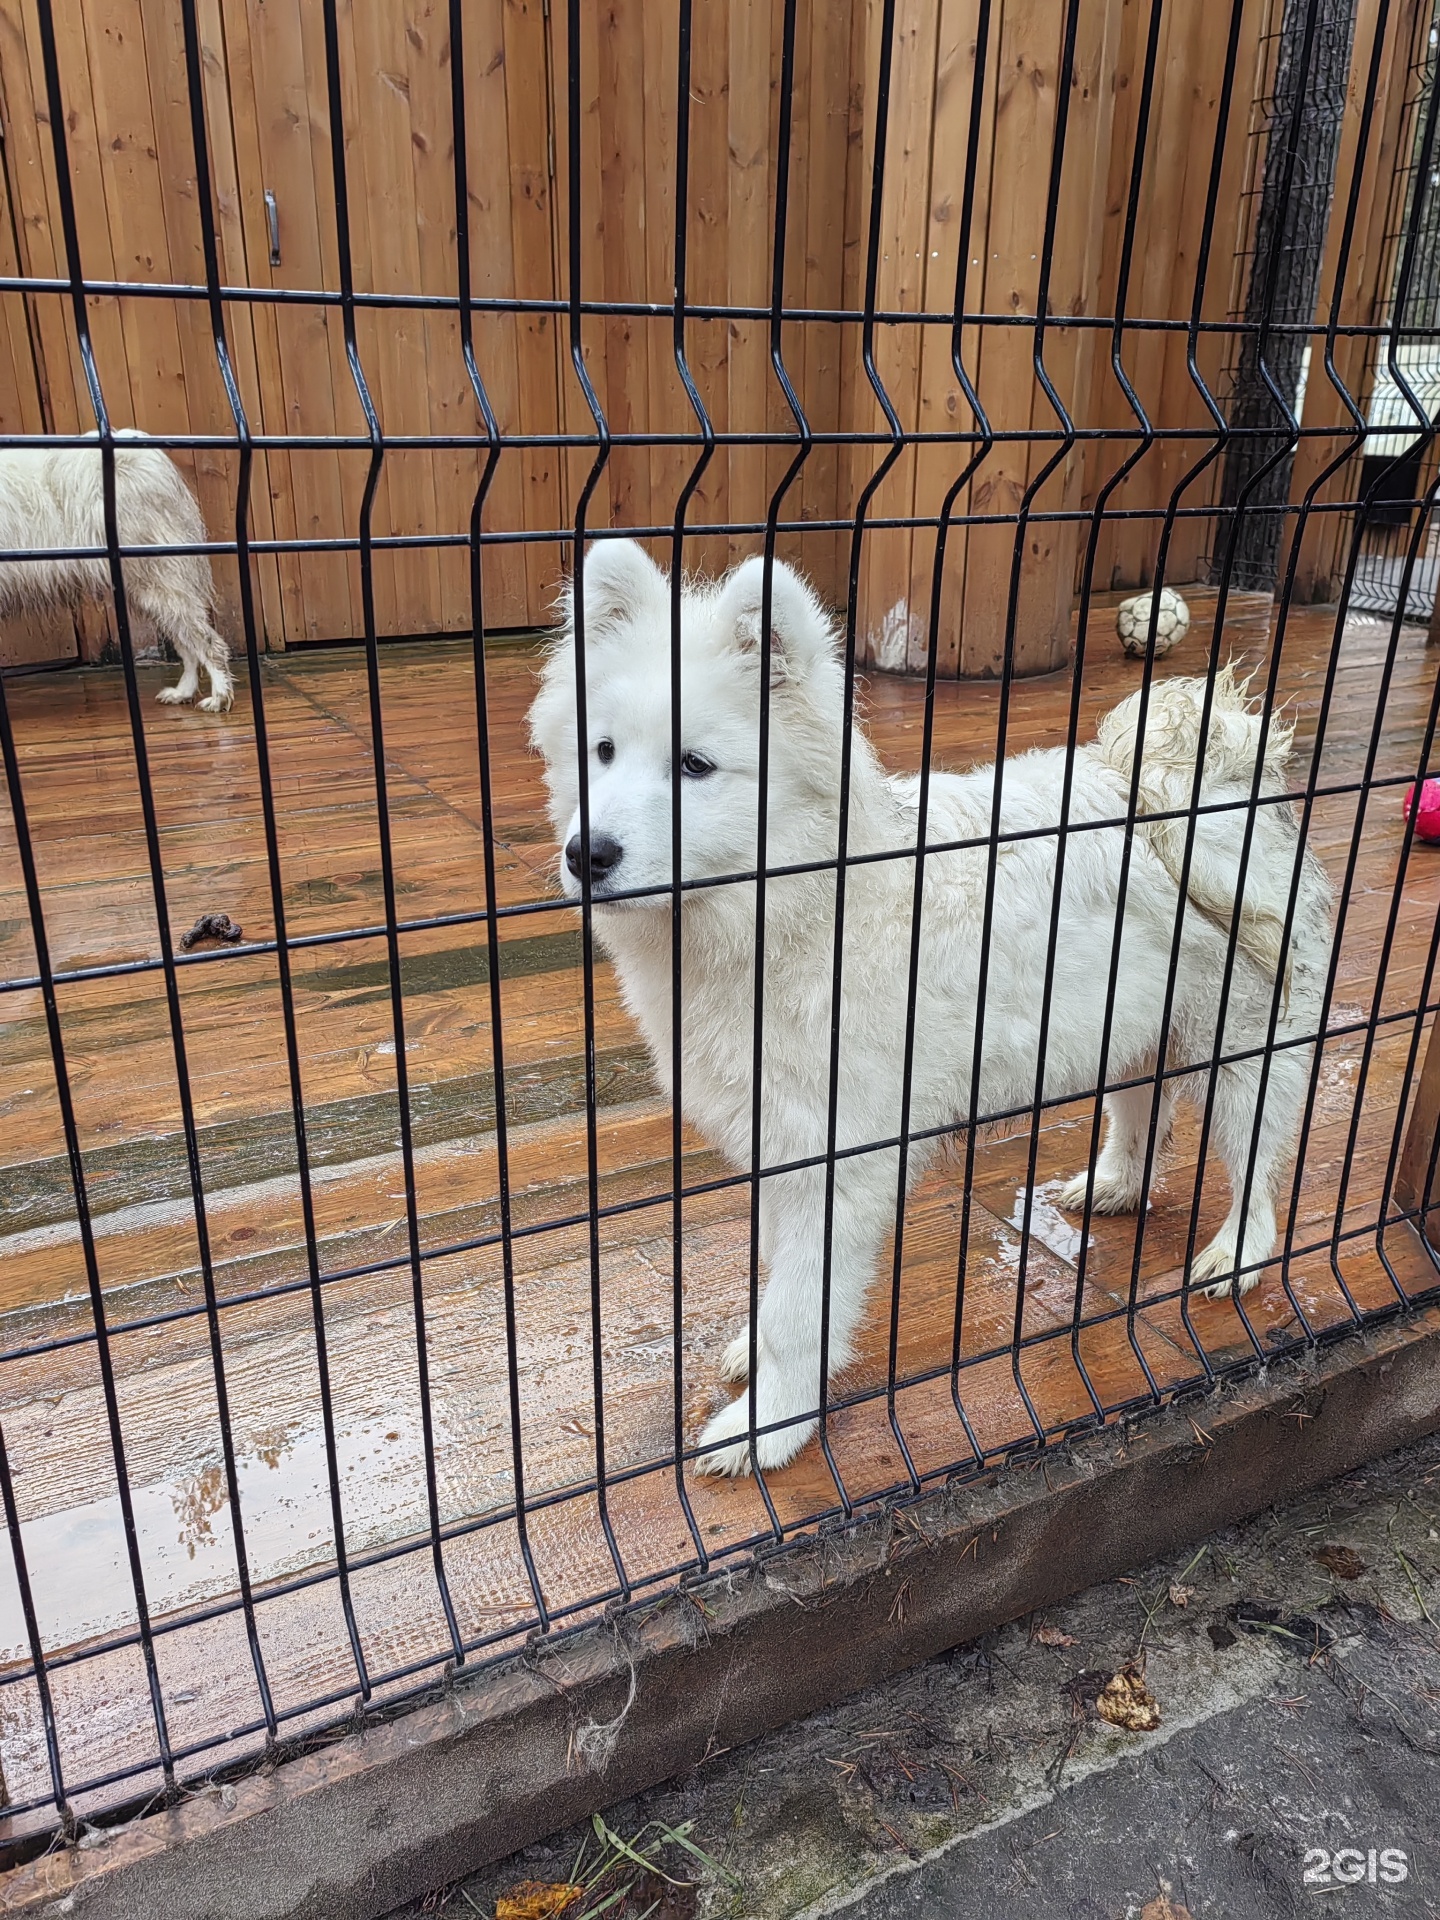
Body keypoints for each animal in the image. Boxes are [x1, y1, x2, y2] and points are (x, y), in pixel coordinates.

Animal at [0, 435, 231, 714]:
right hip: (150, 586)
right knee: (186, 644)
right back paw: (182, 692)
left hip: (157, 580)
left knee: (207, 642)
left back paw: (219, 696)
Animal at [526, 549, 1328, 1474]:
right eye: (602, 751)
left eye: (694, 766)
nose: (587, 855)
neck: (800, 908)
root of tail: (1210, 777)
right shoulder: (781, 1143)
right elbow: (778, 1279)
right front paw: (756, 1358)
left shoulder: (840, 1161)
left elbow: (803, 1308)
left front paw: (769, 1427)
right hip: (1131, 1027)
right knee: (1141, 1113)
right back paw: (1115, 1187)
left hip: (1244, 1043)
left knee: (1258, 1167)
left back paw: (1234, 1257)